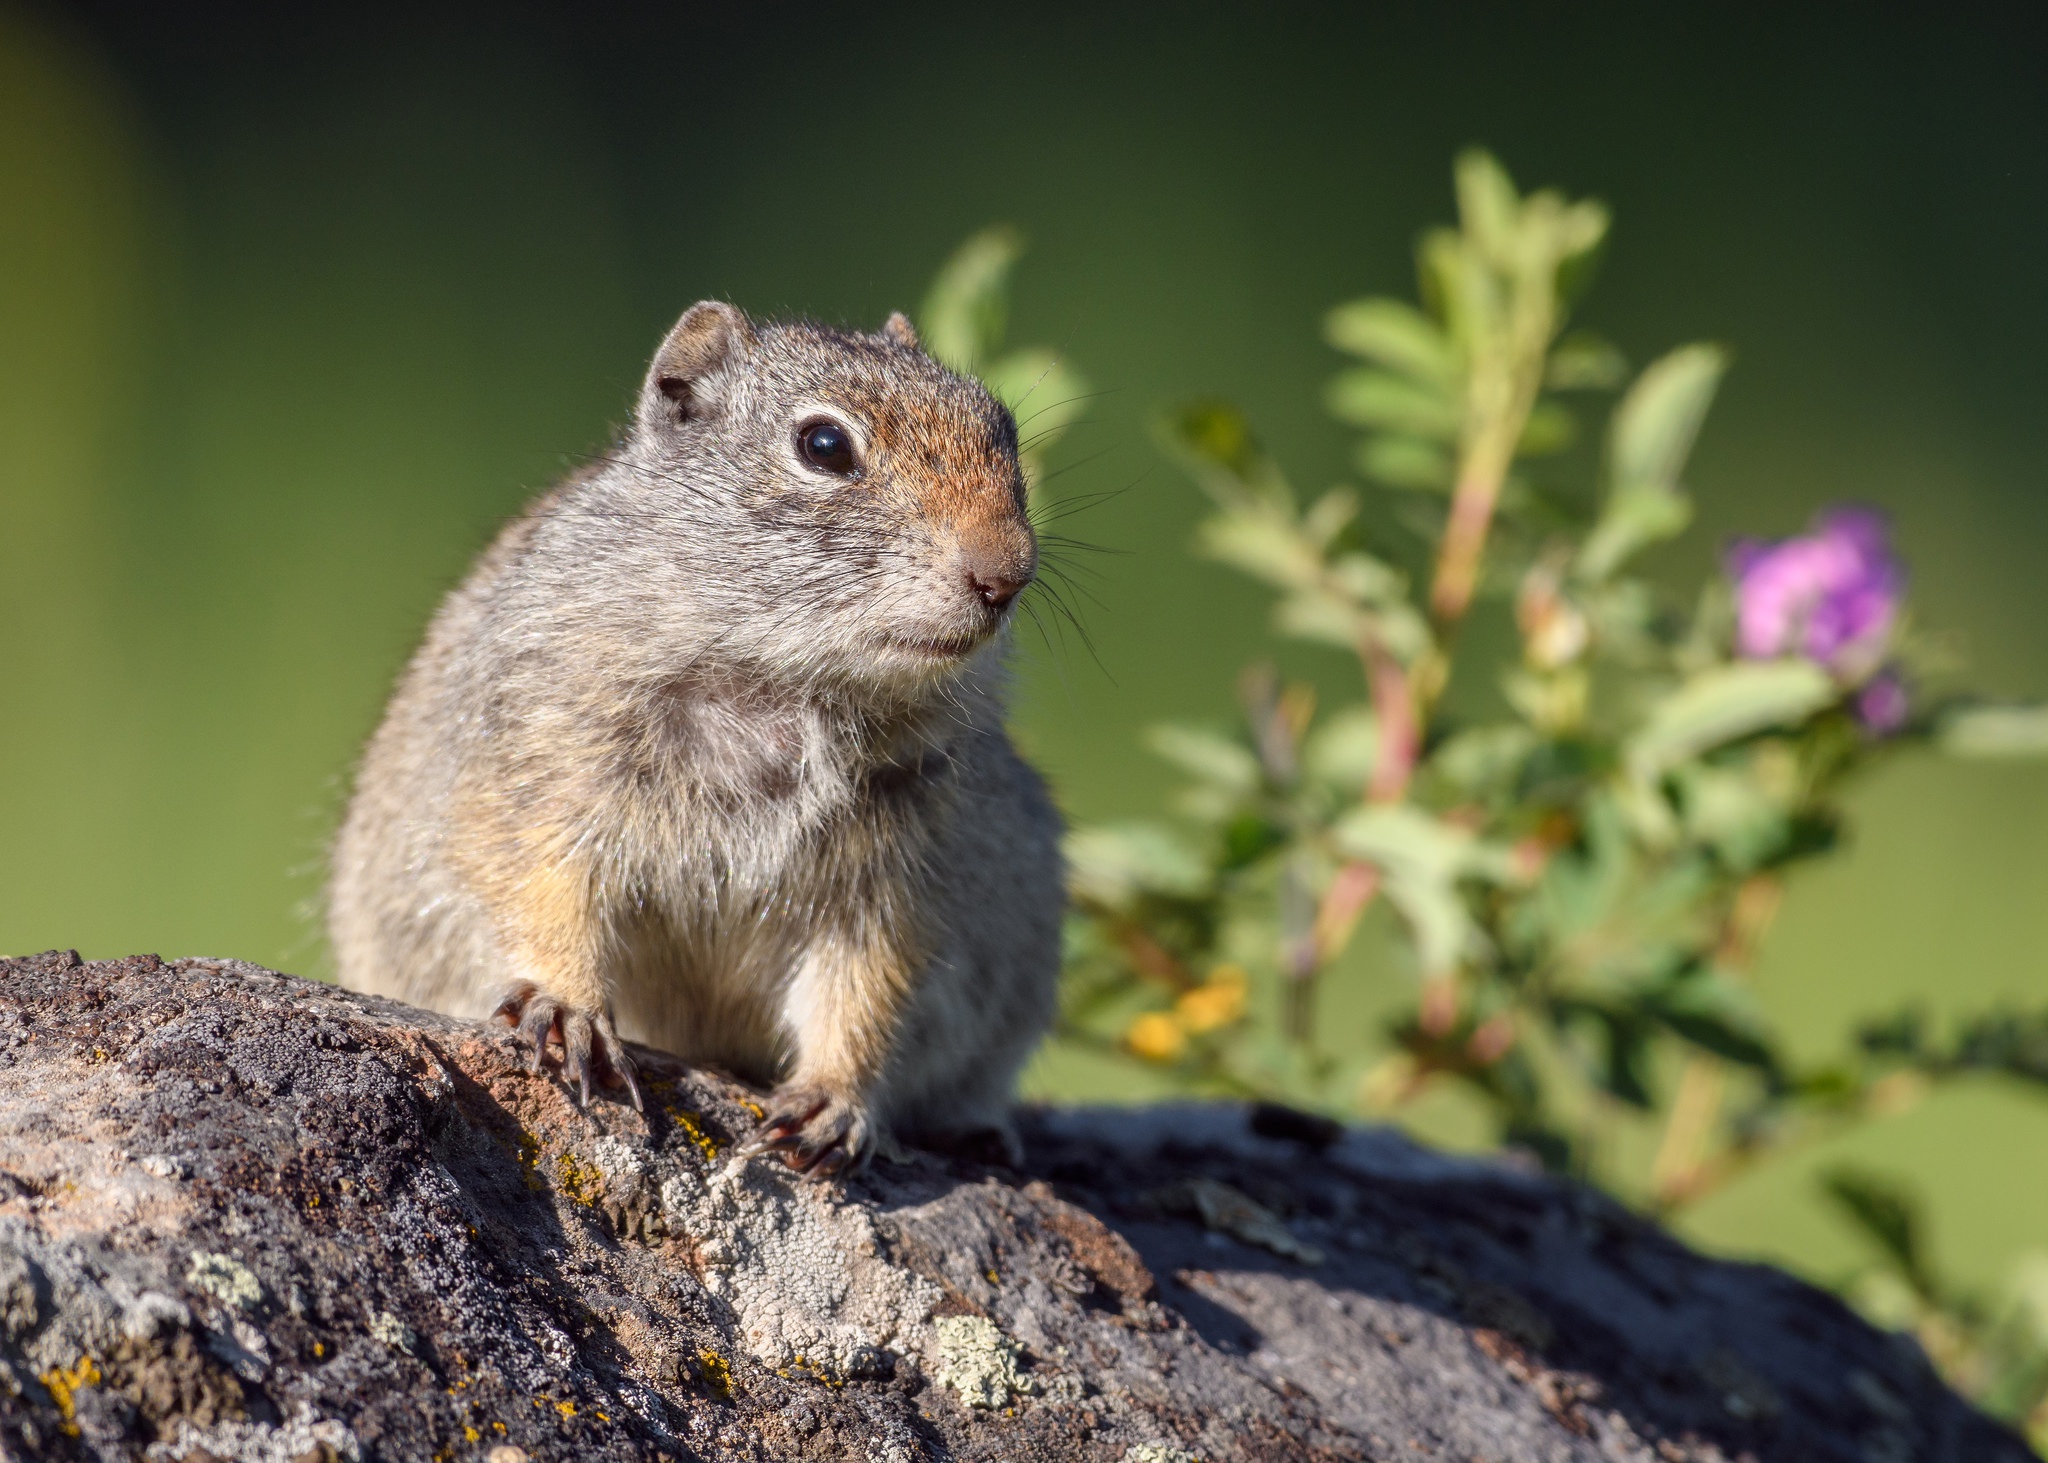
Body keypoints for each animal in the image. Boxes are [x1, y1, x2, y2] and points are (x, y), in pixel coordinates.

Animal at [327, 301, 1064, 1172]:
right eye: (824, 445)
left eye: (1003, 426)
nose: (1007, 573)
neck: (788, 682)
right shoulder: (541, 772)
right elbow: (540, 890)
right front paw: (569, 1008)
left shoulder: (897, 877)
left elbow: (863, 989)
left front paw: (833, 1102)